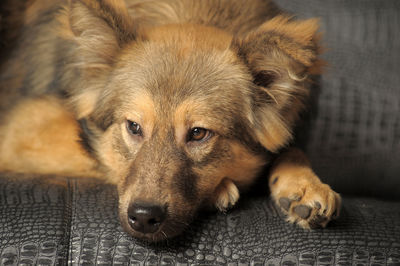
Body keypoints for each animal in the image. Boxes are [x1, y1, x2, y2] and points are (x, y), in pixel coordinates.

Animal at [0, 0, 340, 241]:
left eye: (199, 133)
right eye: (133, 127)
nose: (143, 218)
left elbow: (292, 149)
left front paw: (305, 185)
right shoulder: (21, 131)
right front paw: (221, 189)